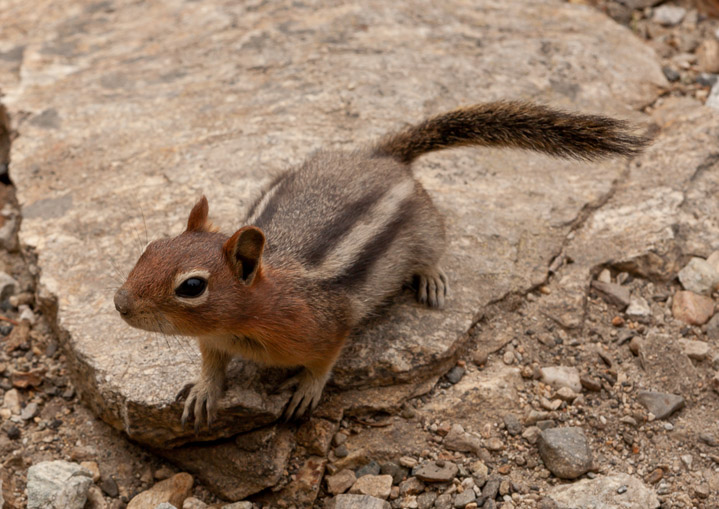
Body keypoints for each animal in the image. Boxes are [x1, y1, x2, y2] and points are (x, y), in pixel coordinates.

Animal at [113, 101, 650, 431]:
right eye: (150, 247)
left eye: (192, 287)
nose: (119, 303)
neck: (252, 313)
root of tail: (380, 156)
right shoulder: (213, 340)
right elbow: (210, 363)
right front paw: (204, 391)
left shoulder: (330, 326)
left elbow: (325, 360)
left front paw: (306, 390)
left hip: (429, 228)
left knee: (435, 250)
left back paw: (431, 278)